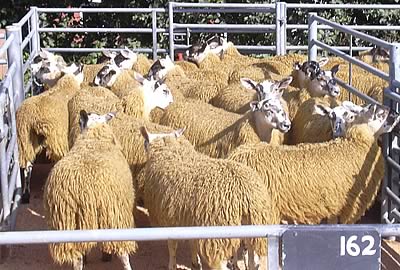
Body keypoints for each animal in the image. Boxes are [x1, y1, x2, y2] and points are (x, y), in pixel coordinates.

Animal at [44, 110, 138, 270]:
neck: (94, 137)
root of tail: (83, 190)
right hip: (113, 216)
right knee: (123, 253)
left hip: (68, 221)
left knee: (77, 257)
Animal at [140, 126, 278, 270]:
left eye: (145, 142)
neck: (169, 152)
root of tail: (244, 195)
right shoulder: (189, 220)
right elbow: (192, 243)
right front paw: (195, 263)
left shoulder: (168, 219)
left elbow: (172, 246)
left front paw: (172, 265)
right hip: (255, 229)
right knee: (253, 263)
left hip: (218, 237)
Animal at [228, 102, 400, 225]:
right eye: (378, 112)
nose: (396, 113)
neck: (355, 142)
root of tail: (237, 157)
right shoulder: (347, 206)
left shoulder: (334, 207)